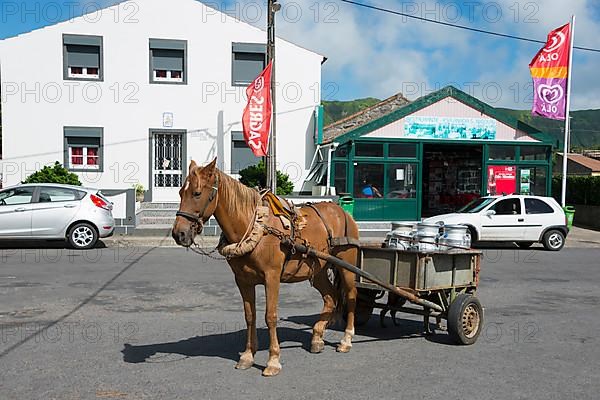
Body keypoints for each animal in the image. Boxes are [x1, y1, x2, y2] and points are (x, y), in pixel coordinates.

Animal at [171, 159, 358, 376]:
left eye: (197, 193)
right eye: (180, 193)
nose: (179, 233)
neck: (255, 226)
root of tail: (341, 211)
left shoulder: (272, 277)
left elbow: (271, 316)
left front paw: (273, 360)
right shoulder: (243, 280)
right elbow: (250, 316)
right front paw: (247, 355)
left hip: (346, 265)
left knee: (351, 296)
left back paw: (346, 339)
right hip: (316, 269)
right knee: (330, 298)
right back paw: (317, 336)